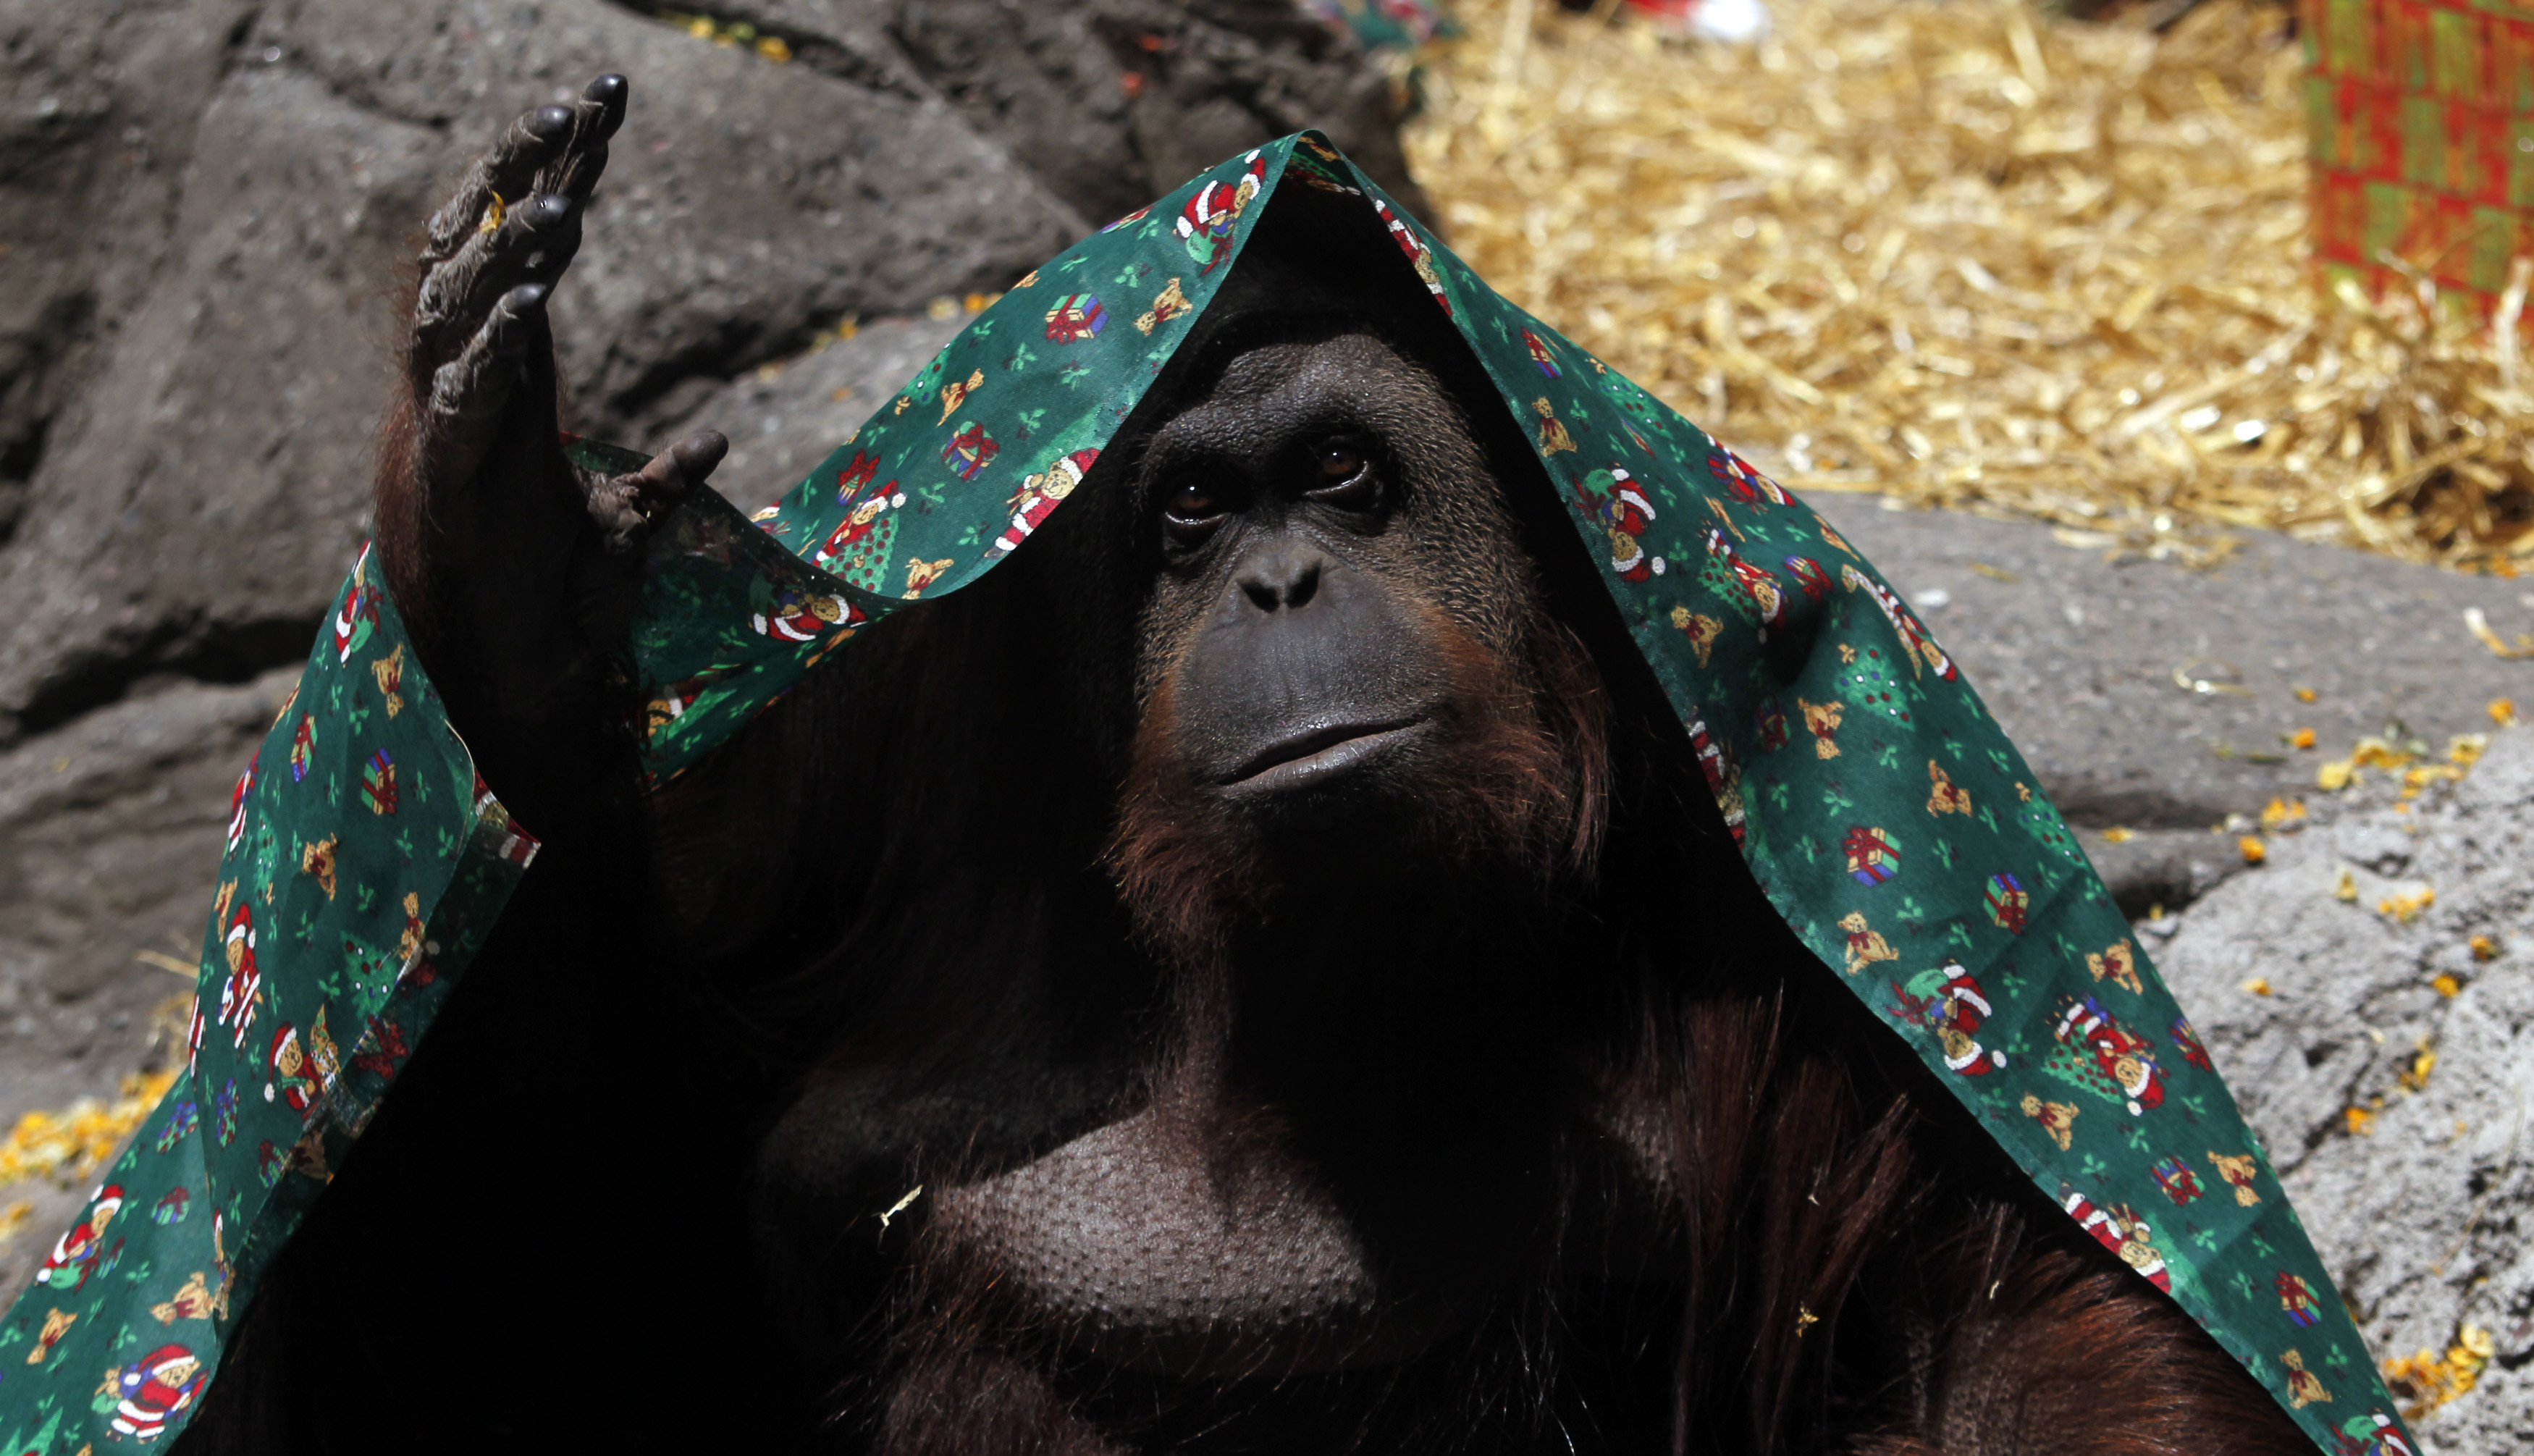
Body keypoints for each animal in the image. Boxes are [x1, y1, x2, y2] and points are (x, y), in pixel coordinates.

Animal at [167, 79, 2320, 1456]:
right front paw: (507, 567)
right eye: (1193, 515)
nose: (1281, 580)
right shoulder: (868, 766)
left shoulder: (1801, 894)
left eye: (1348, 477)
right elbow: (543, 1230)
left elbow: (2009, 1322)